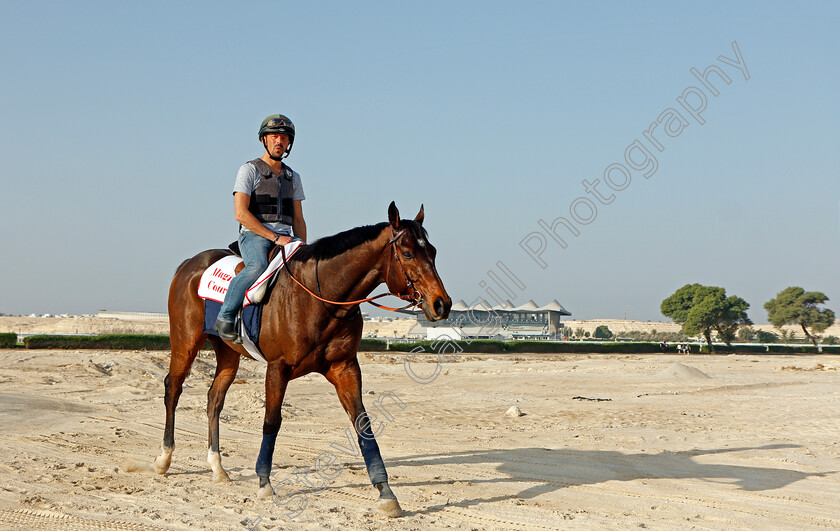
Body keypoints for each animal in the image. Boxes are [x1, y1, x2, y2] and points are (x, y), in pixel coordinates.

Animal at [151, 202, 452, 516]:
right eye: (407, 253)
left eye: (432, 252)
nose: (441, 304)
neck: (321, 297)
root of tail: (189, 264)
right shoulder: (278, 368)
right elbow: (271, 421)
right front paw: (264, 482)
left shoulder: (345, 368)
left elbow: (363, 424)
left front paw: (385, 491)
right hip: (185, 342)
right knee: (173, 388)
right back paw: (164, 458)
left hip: (228, 354)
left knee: (214, 399)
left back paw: (217, 467)